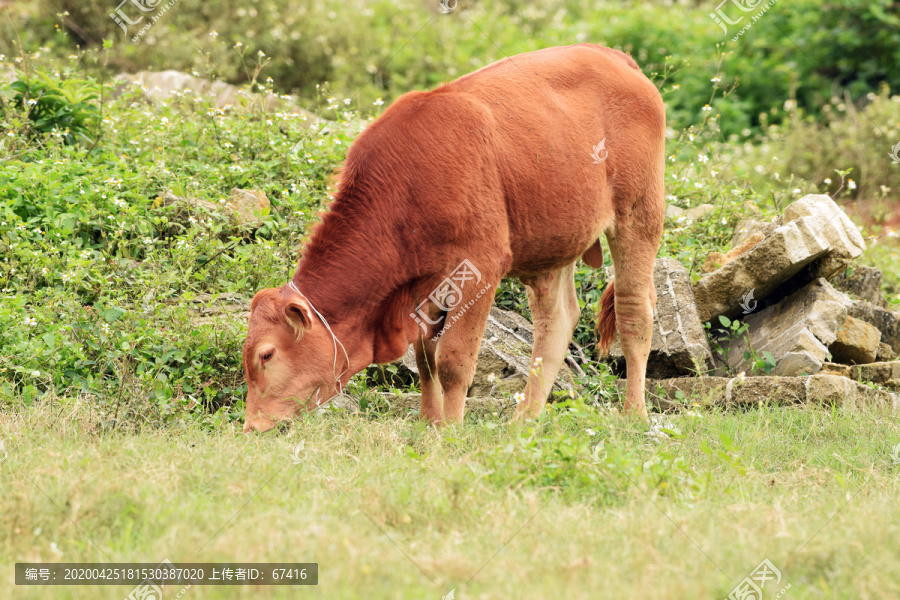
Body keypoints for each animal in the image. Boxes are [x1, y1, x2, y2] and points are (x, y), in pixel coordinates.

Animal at [243, 44, 664, 434]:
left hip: (640, 212)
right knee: (556, 320)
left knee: (633, 312)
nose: (251, 427)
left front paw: (452, 430)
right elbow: (426, 360)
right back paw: (524, 420)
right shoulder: (421, 285)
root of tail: (612, 54)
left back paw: (634, 414)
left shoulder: (479, 265)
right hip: (552, 238)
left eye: (266, 355)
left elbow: (453, 362)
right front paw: (431, 424)